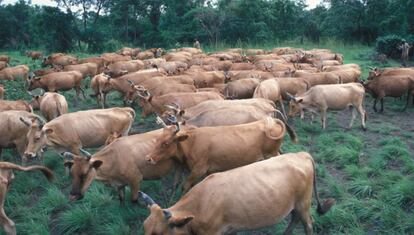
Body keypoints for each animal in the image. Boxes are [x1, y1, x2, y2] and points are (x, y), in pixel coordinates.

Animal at [141, 151, 334, 235]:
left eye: (158, 234)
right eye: (144, 227)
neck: (199, 205)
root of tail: (301, 154)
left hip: (303, 203)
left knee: (308, 223)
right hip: (294, 204)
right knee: (294, 219)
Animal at [146, 117, 298, 193]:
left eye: (166, 143)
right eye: (157, 139)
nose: (148, 158)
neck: (192, 142)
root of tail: (271, 121)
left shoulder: (199, 169)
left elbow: (185, 186)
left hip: (270, 154)